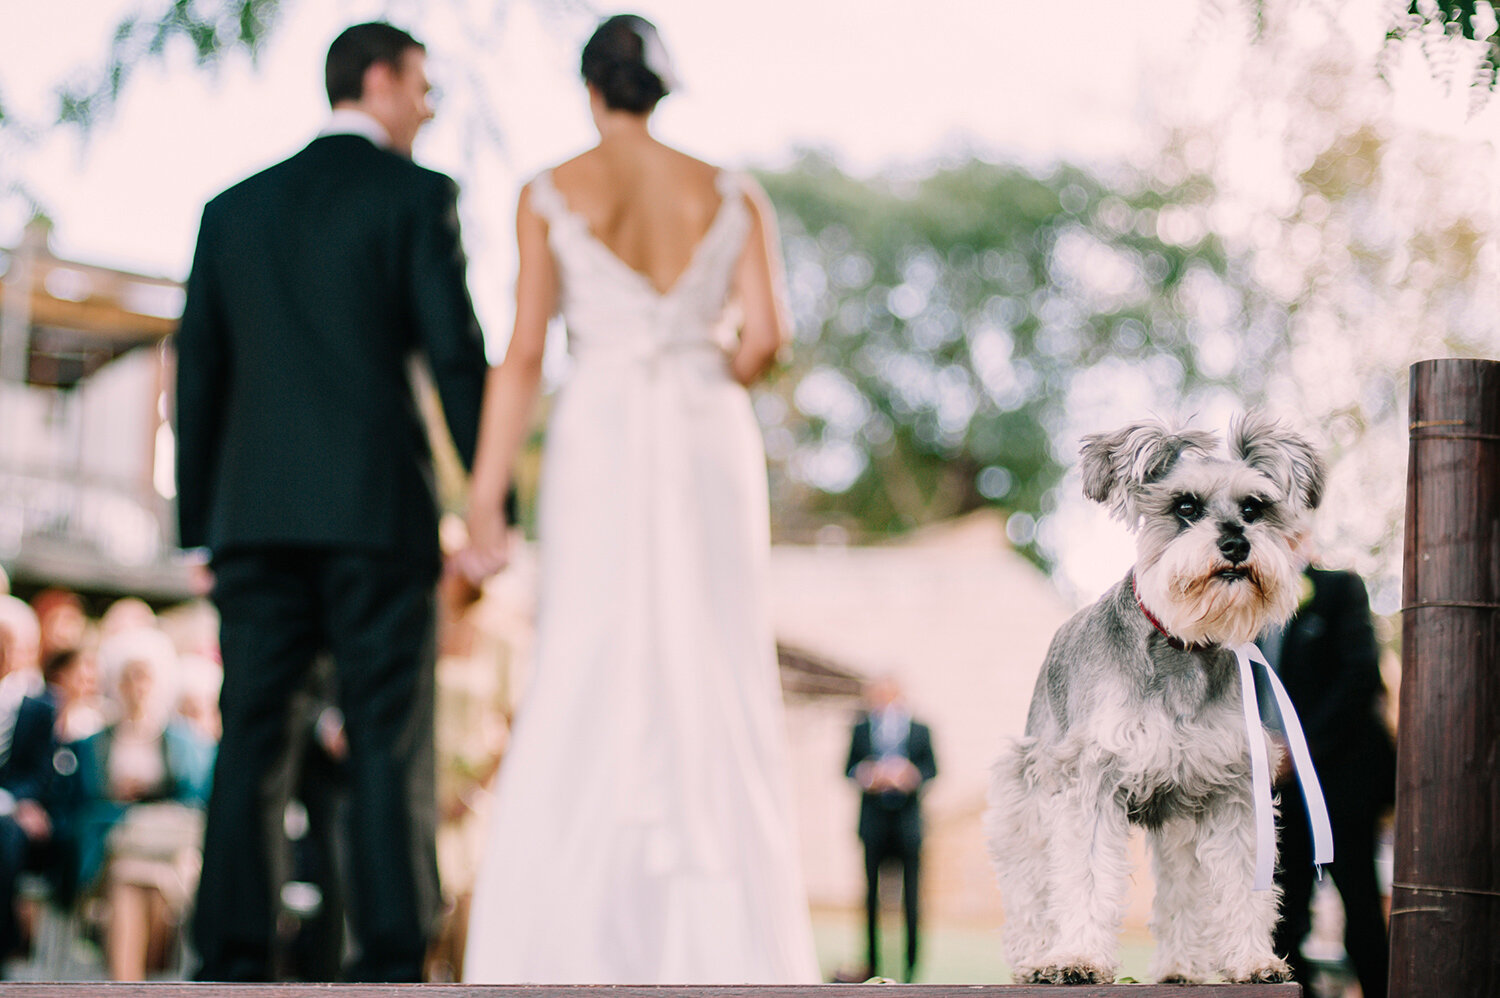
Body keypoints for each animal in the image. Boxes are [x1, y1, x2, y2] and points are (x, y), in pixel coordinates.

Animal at [984, 411, 1326, 978]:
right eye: (1185, 507)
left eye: (1253, 508)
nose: (1237, 544)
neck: (1183, 643)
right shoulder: (1091, 782)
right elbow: (1084, 878)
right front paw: (1079, 957)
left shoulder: (1231, 789)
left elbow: (1240, 882)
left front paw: (1252, 959)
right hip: (1029, 789)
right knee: (1029, 883)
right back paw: (1035, 957)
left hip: (1178, 822)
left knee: (1181, 891)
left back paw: (1181, 967)